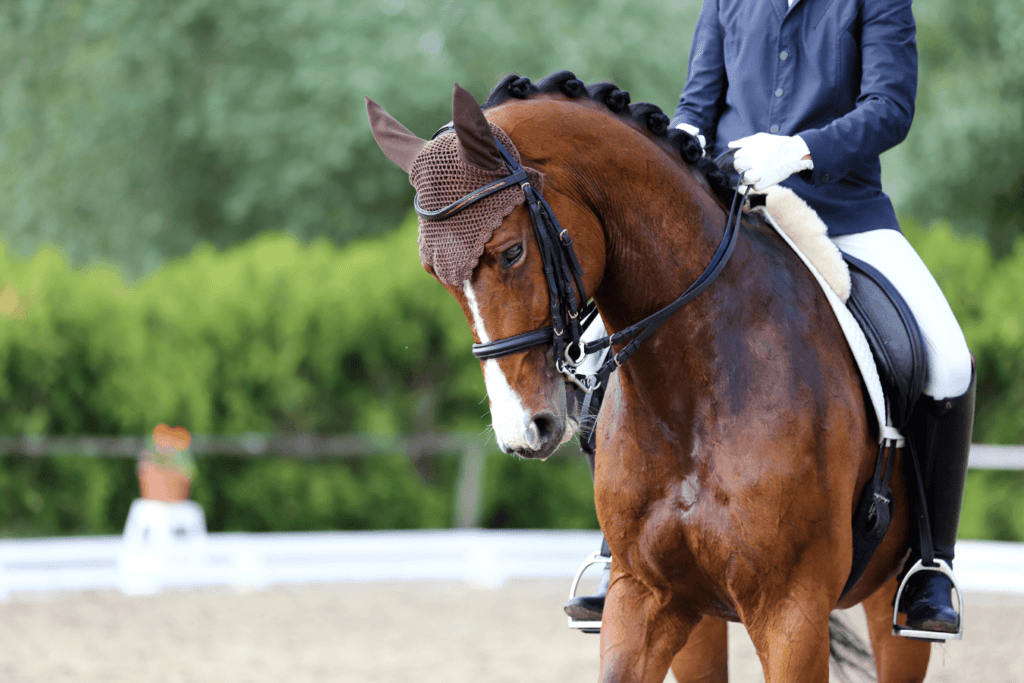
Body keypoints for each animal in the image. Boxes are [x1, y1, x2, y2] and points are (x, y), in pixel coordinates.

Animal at [370, 72, 937, 679]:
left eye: (511, 252)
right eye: (436, 274)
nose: (523, 430)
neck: (691, 395)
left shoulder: (793, 610)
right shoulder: (648, 594)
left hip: (887, 602)